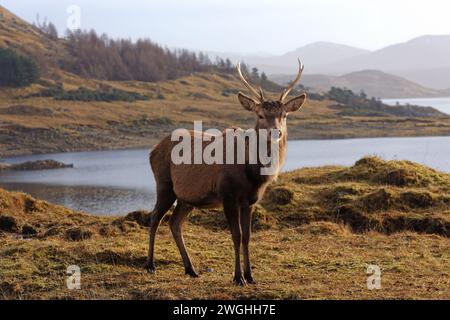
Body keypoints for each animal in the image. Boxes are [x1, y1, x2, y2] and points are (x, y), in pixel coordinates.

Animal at [146, 59, 308, 284]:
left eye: (284, 115)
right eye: (260, 115)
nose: (275, 132)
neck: (253, 174)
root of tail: (152, 150)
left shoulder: (251, 200)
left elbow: (247, 236)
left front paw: (250, 275)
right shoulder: (228, 195)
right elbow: (236, 235)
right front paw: (238, 277)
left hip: (187, 198)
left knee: (174, 223)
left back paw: (191, 269)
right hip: (164, 184)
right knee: (155, 218)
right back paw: (150, 265)